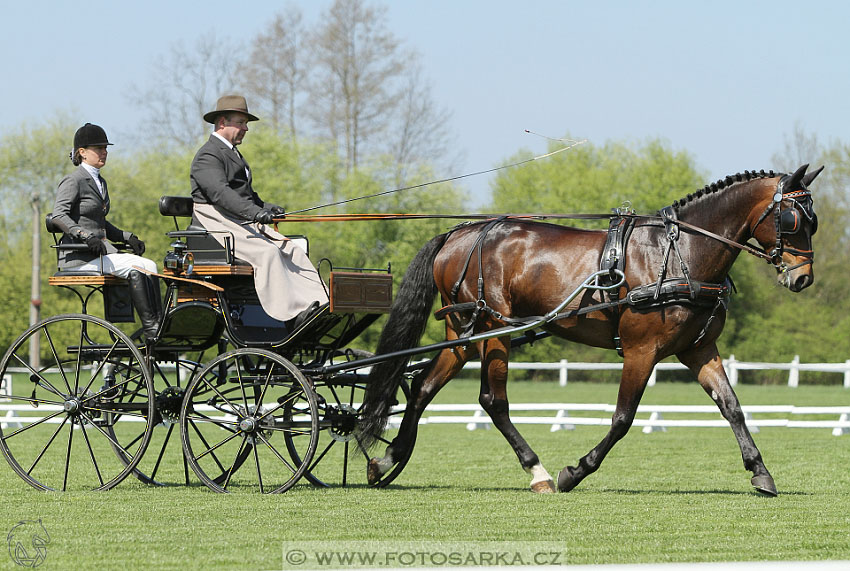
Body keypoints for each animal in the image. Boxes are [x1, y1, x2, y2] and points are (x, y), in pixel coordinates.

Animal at [360, 163, 820, 494]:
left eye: (812, 220)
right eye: (793, 219)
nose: (803, 278)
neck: (680, 253)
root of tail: (459, 233)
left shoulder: (698, 349)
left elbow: (732, 406)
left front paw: (760, 472)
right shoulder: (641, 351)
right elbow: (622, 418)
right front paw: (576, 471)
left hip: (464, 333)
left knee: (423, 386)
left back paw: (387, 460)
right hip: (493, 330)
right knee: (493, 400)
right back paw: (539, 472)